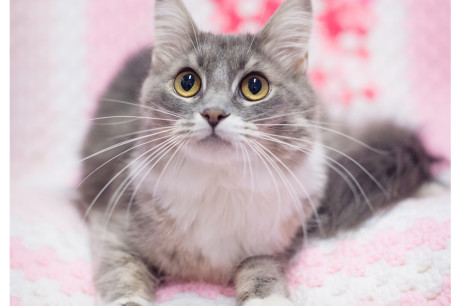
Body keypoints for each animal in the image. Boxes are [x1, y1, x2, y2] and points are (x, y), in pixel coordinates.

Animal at [79, 0, 434, 306]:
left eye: (254, 87)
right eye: (187, 82)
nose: (213, 113)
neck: (219, 186)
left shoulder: (274, 241)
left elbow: (261, 269)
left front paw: (267, 298)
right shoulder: (112, 222)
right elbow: (121, 271)